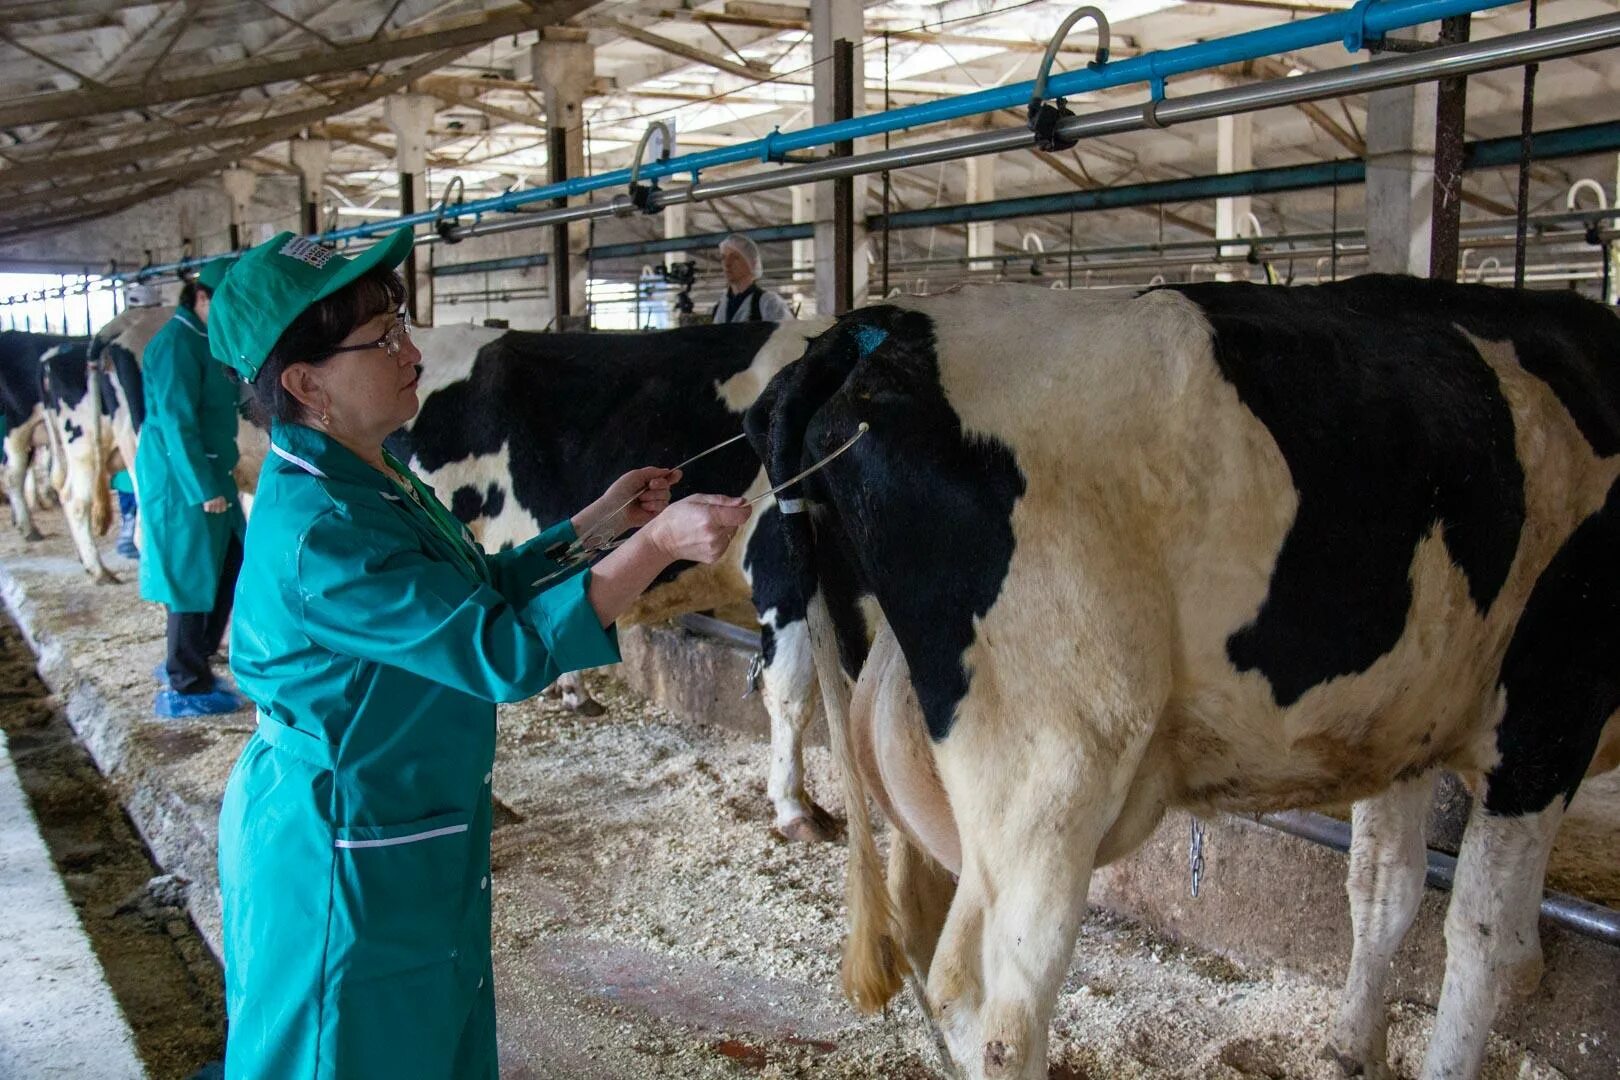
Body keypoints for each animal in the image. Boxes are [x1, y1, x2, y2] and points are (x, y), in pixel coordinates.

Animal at [745, 278, 1620, 1080]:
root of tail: (873, 329)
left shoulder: (1406, 723)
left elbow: (1385, 888)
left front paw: (1351, 1050)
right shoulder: (1552, 705)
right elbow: (1484, 934)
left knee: (925, 941)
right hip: (1055, 763)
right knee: (993, 1006)